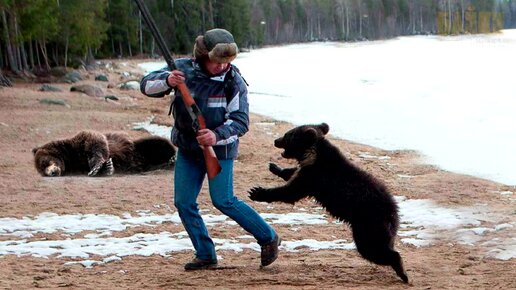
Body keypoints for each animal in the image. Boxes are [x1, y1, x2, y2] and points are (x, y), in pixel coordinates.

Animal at [34, 131, 176, 177]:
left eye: (45, 163)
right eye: (43, 170)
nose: (52, 172)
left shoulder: (79, 142)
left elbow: (95, 143)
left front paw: (96, 167)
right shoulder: (77, 166)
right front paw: (107, 168)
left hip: (139, 147)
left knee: (159, 143)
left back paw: (173, 158)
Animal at [248, 123, 410, 284]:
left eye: (288, 135)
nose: (276, 140)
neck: (312, 154)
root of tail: (393, 211)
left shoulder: (315, 176)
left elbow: (289, 192)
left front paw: (256, 192)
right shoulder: (308, 171)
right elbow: (293, 174)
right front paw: (275, 167)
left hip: (369, 226)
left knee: (373, 249)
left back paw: (403, 273)